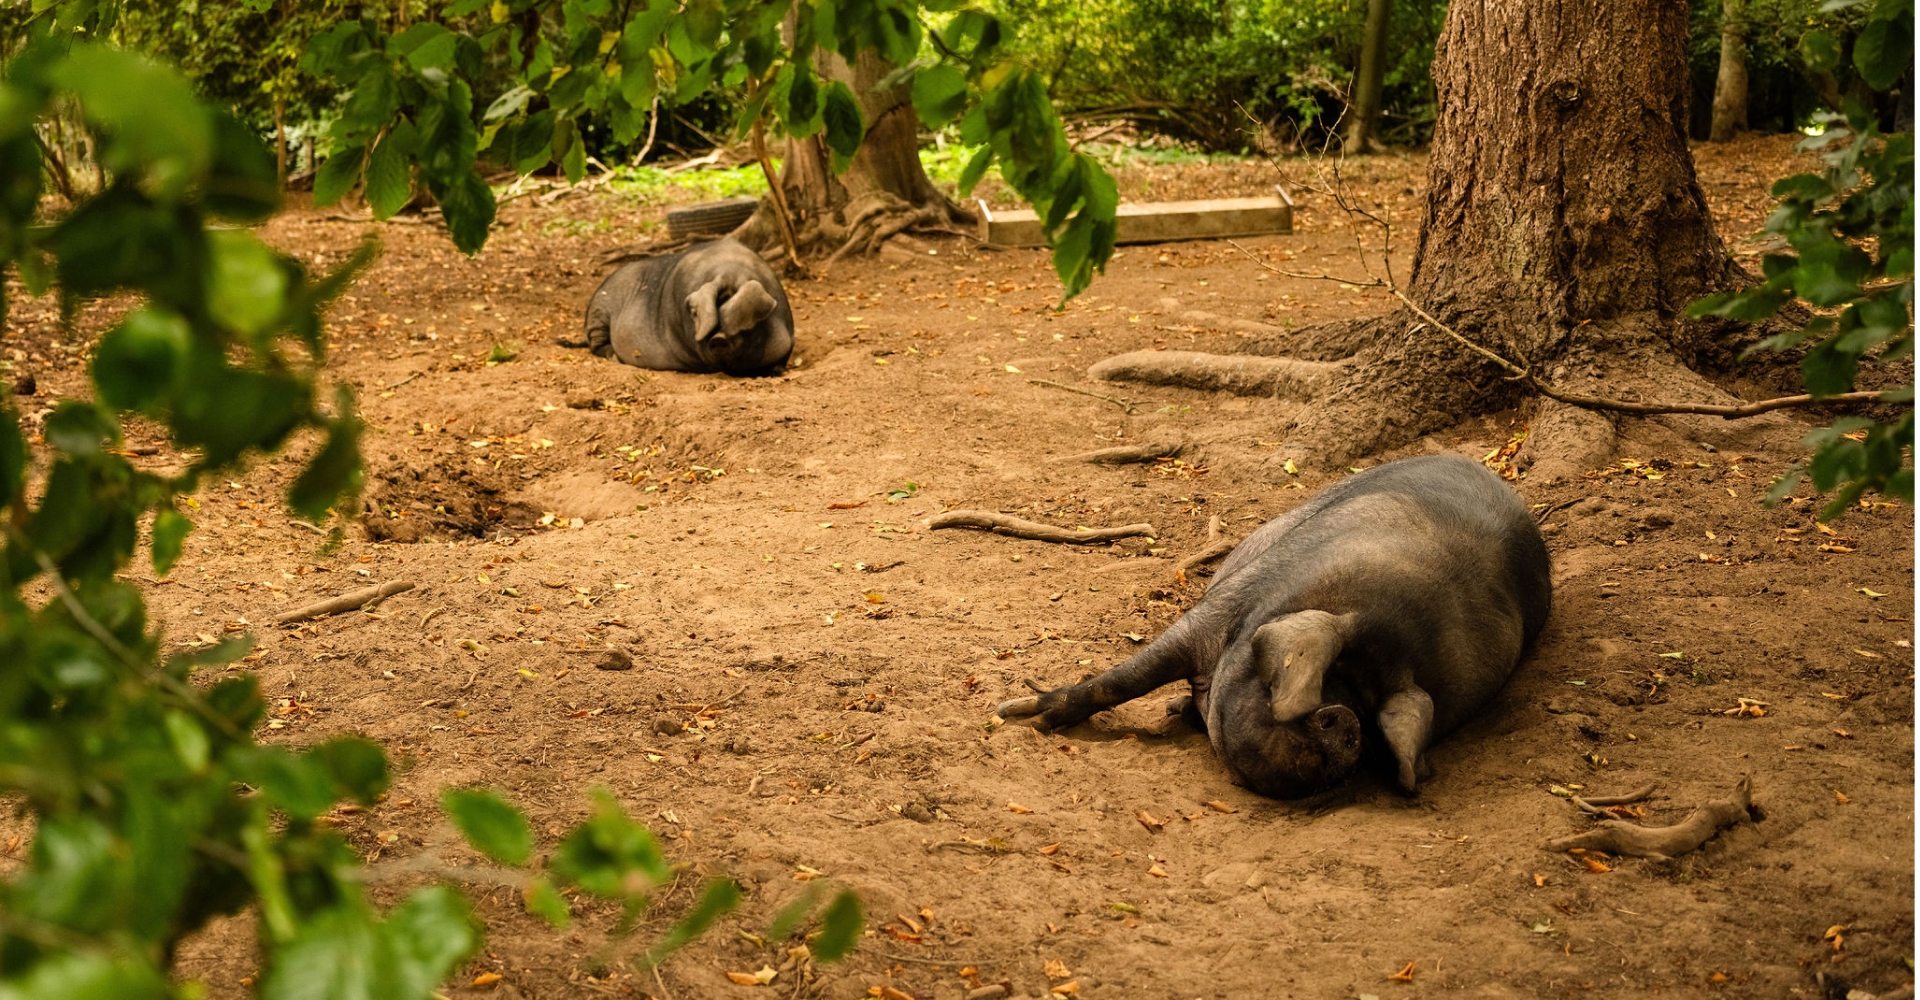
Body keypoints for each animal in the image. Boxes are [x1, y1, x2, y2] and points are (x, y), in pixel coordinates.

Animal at [581, 238, 794, 375]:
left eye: (744, 325)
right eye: (695, 314)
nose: (718, 338)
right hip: (598, 312)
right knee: (596, 344)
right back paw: (614, 357)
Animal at [996, 454, 1551, 798]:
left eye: (1370, 717)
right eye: (1325, 679)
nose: (1344, 720)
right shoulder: (1216, 612)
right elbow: (1128, 677)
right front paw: (1019, 716)